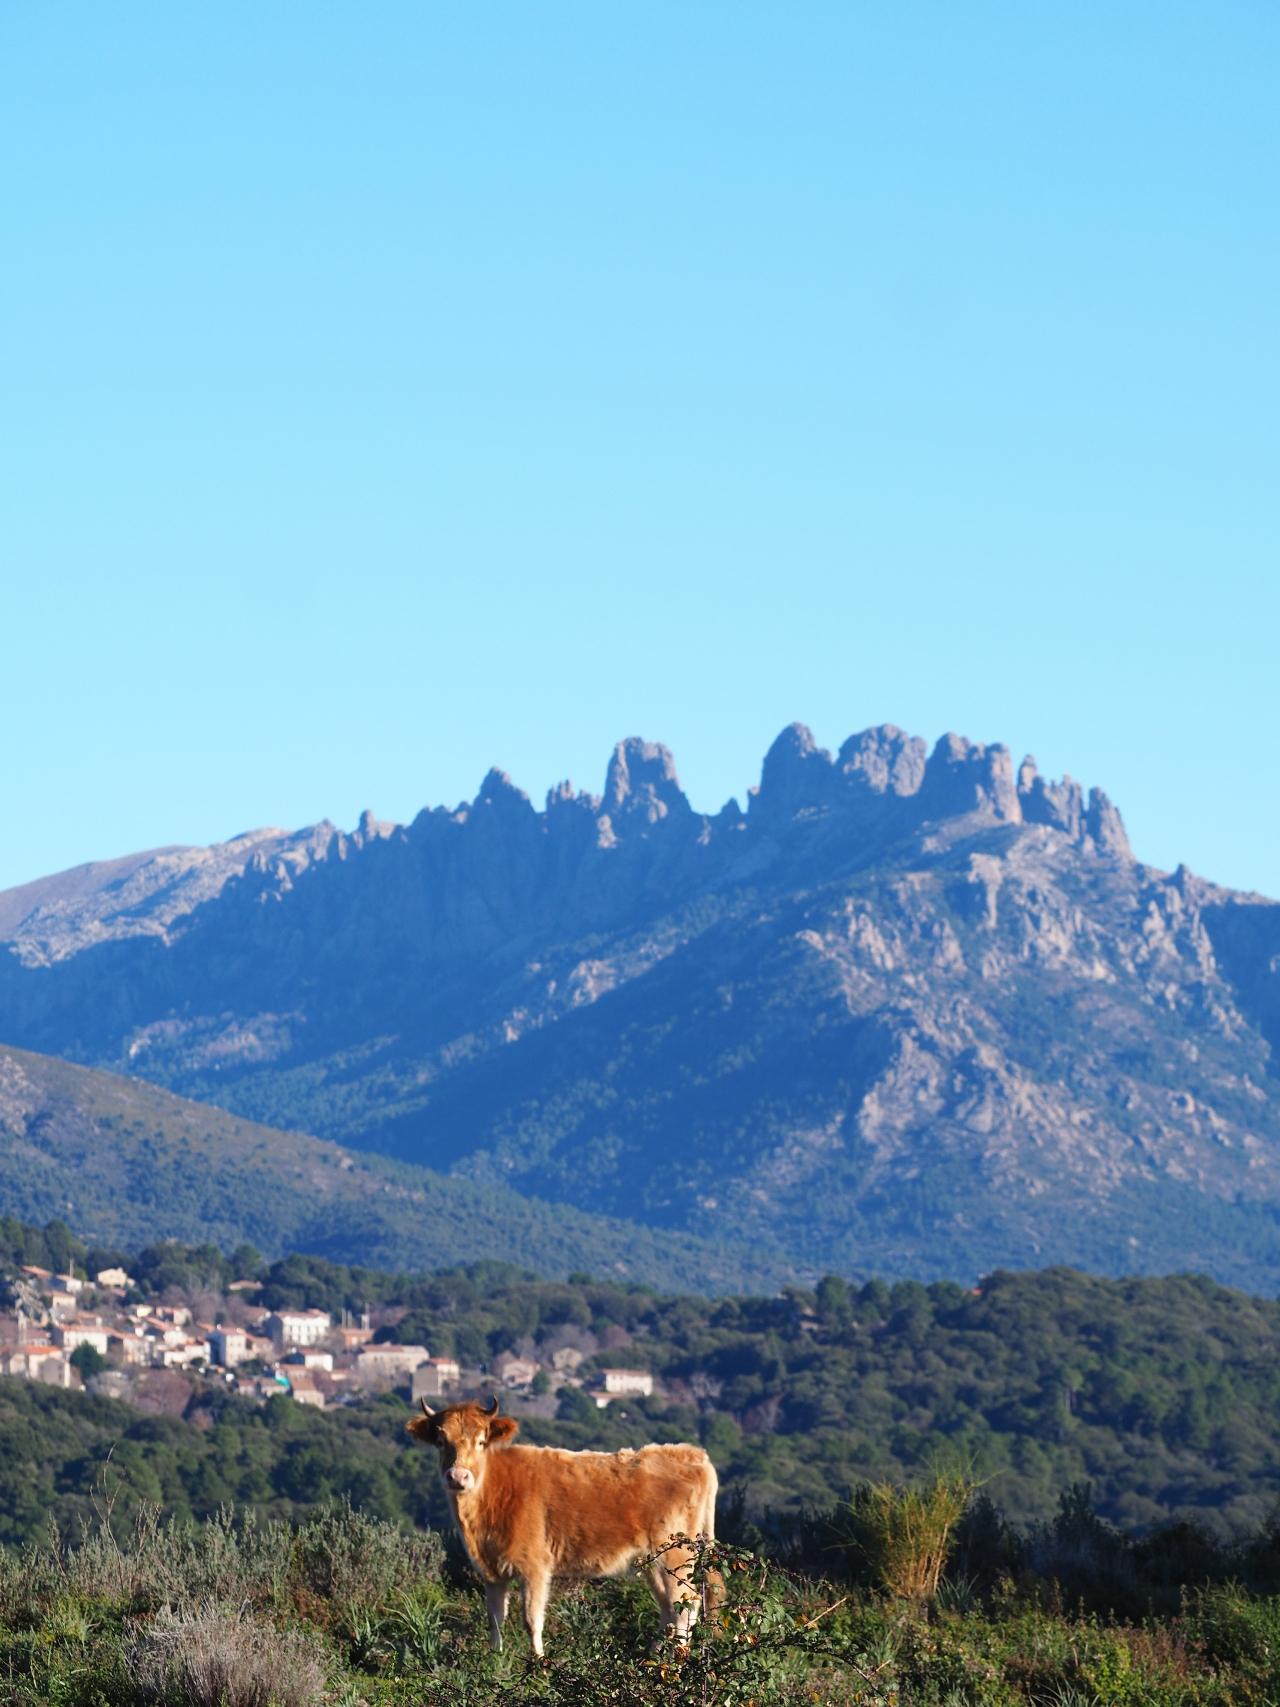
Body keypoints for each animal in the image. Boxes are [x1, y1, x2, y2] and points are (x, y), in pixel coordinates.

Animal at [406, 1399, 716, 1652]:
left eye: (481, 1441)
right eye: (441, 1441)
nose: (457, 1476)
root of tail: (695, 1454)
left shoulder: (534, 1566)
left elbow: (531, 1619)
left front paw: (538, 1667)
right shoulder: (491, 1571)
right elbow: (495, 1620)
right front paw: (494, 1662)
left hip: (675, 1555)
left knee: (685, 1607)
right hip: (652, 1561)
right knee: (669, 1608)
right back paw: (652, 1658)